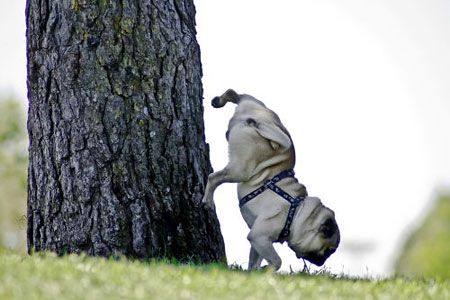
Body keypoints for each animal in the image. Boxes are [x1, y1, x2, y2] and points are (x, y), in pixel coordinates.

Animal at [202, 89, 340, 270]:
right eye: (329, 251)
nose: (321, 263)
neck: (297, 210)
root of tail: (257, 115)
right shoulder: (259, 237)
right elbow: (277, 261)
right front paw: (265, 269)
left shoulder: (257, 241)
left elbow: (255, 259)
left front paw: (253, 271)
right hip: (241, 169)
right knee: (213, 178)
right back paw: (208, 201)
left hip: (255, 106)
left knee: (237, 94)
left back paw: (219, 101)